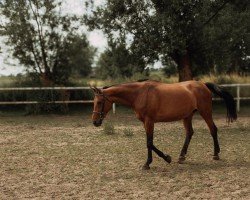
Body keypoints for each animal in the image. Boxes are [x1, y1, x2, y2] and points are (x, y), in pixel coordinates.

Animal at [90, 80, 236, 170]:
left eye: (99, 102)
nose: (95, 122)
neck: (139, 94)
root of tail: (203, 84)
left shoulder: (149, 121)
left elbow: (149, 143)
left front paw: (158, 160)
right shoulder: (145, 123)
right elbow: (149, 142)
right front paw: (158, 160)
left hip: (205, 112)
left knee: (213, 129)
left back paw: (216, 154)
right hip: (187, 116)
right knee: (190, 133)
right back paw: (182, 157)